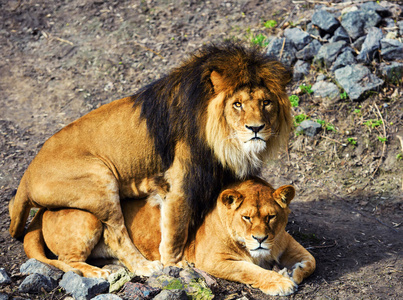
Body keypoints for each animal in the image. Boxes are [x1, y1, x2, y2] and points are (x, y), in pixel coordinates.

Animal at [8, 42, 294, 272]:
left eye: (266, 102)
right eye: (237, 104)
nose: (256, 128)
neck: (226, 142)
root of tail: (26, 179)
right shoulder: (180, 182)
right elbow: (176, 229)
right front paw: (175, 264)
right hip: (100, 179)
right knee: (115, 235)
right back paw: (145, 268)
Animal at [24, 178, 316, 296]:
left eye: (271, 216)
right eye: (246, 217)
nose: (260, 238)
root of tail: (42, 209)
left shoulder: (285, 242)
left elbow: (311, 261)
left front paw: (291, 273)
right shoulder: (211, 260)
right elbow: (249, 270)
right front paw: (280, 282)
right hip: (92, 215)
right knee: (68, 260)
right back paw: (100, 273)